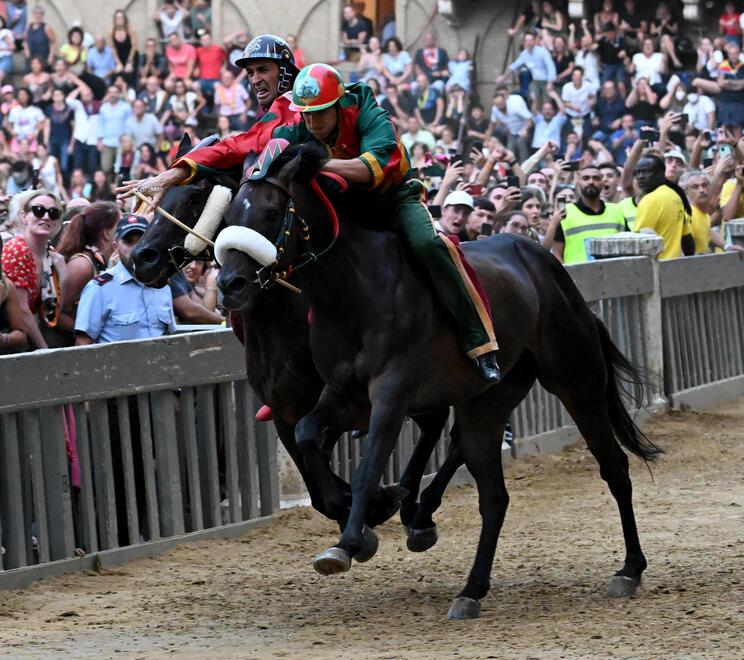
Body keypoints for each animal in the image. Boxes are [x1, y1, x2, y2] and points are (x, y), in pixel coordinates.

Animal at [130, 139, 452, 561]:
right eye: (164, 193)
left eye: (196, 195)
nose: (142, 258)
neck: (282, 319)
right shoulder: (285, 411)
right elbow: (318, 488)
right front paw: (366, 514)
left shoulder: (344, 401)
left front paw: (373, 507)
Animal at [215, 142, 661, 619]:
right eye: (229, 214)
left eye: (271, 209)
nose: (230, 283)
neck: (354, 291)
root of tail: (549, 265)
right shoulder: (340, 394)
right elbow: (307, 435)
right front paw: (363, 513)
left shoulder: (391, 394)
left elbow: (369, 464)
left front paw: (350, 540)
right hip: (488, 400)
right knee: (493, 493)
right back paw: (470, 588)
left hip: (576, 378)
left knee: (614, 466)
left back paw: (630, 568)